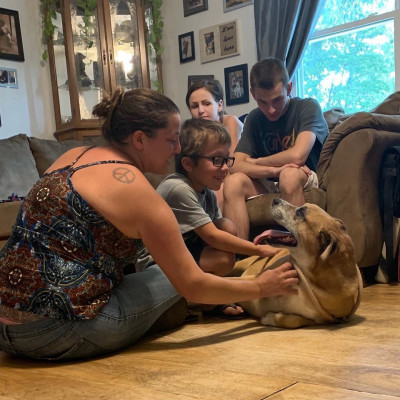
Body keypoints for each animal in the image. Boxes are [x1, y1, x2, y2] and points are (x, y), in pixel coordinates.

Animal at [234, 198, 363, 328]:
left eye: (300, 213)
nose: (276, 199)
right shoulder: (251, 279)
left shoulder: (321, 320)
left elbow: (295, 321)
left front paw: (270, 318)